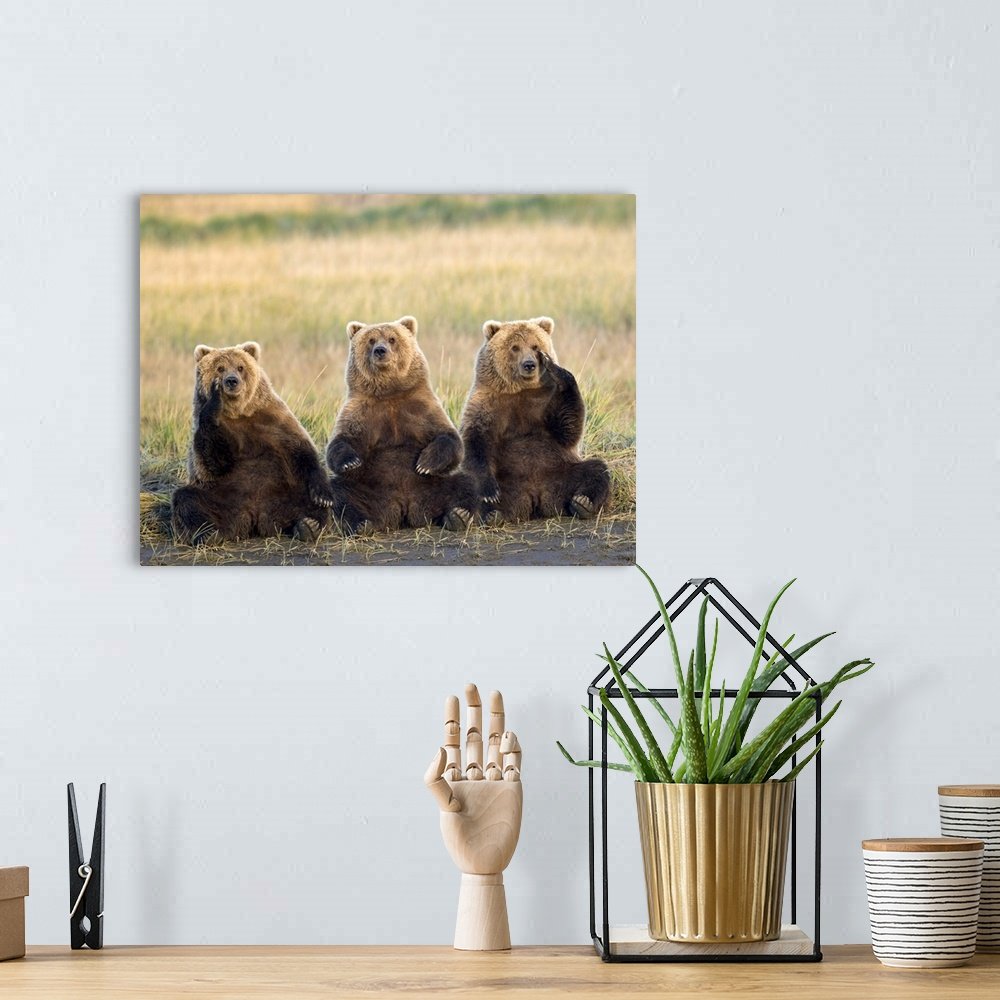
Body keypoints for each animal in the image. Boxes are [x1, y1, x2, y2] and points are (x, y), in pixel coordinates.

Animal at [171, 342, 334, 545]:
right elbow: (213, 460)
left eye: (240, 367)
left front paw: (323, 496)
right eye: (220, 368)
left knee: (305, 501)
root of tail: (254, 516)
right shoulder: (211, 428)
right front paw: (216, 398)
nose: (232, 381)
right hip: (221, 496)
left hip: (283, 493)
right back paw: (208, 533)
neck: (238, 413)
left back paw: (308, 526)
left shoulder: (272, 420)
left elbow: (302, 451)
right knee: (188, 500)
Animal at [325, 316, 479, 534]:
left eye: (392, 338)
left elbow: (448, 437)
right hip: (369, 489)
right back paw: (361, 524)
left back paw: (458, 516)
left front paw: (425, 463)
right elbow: (341, 441)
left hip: (434, 486)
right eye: (371, 340)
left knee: (465, 483)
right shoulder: (361, 412)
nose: (380, 350)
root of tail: (404, 507)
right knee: (341, 493)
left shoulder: (420, 408)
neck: (389, 394)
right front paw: (350, 461)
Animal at [459, 317, 610, 522]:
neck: (521, 390)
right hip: (512, 481)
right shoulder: (487, 403)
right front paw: (489, 492)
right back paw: (488, 514)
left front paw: (555, 368)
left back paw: (583, 503)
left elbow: (568, 427)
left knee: (596, 470)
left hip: (561, 472)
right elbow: (475, 439)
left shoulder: (546, 401)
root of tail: (536, 496)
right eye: (515, 347)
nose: (529, 364)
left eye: (535, 346)